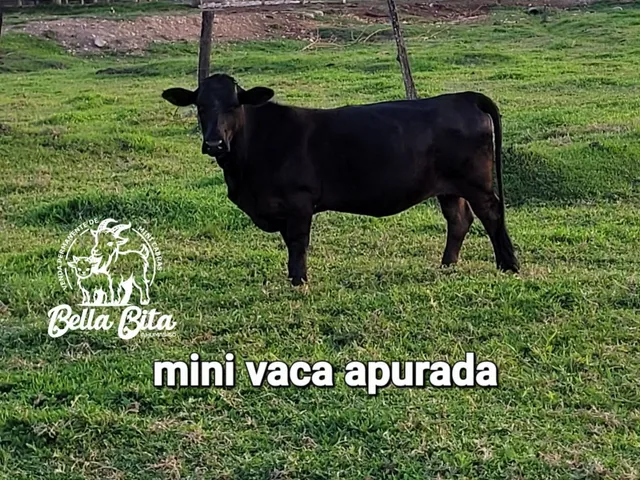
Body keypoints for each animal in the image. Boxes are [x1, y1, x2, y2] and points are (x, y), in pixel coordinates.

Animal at [162, 74, 519, 286]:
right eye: (200, 106)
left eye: (235, 105)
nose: (214, 144)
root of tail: (463, 96)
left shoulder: (299, 201)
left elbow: (297, 243)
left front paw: (299, 282)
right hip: (448, 187)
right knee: (459, 219)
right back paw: (447, 266)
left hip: (477, 182)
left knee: (490, 213)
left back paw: (509, 265)